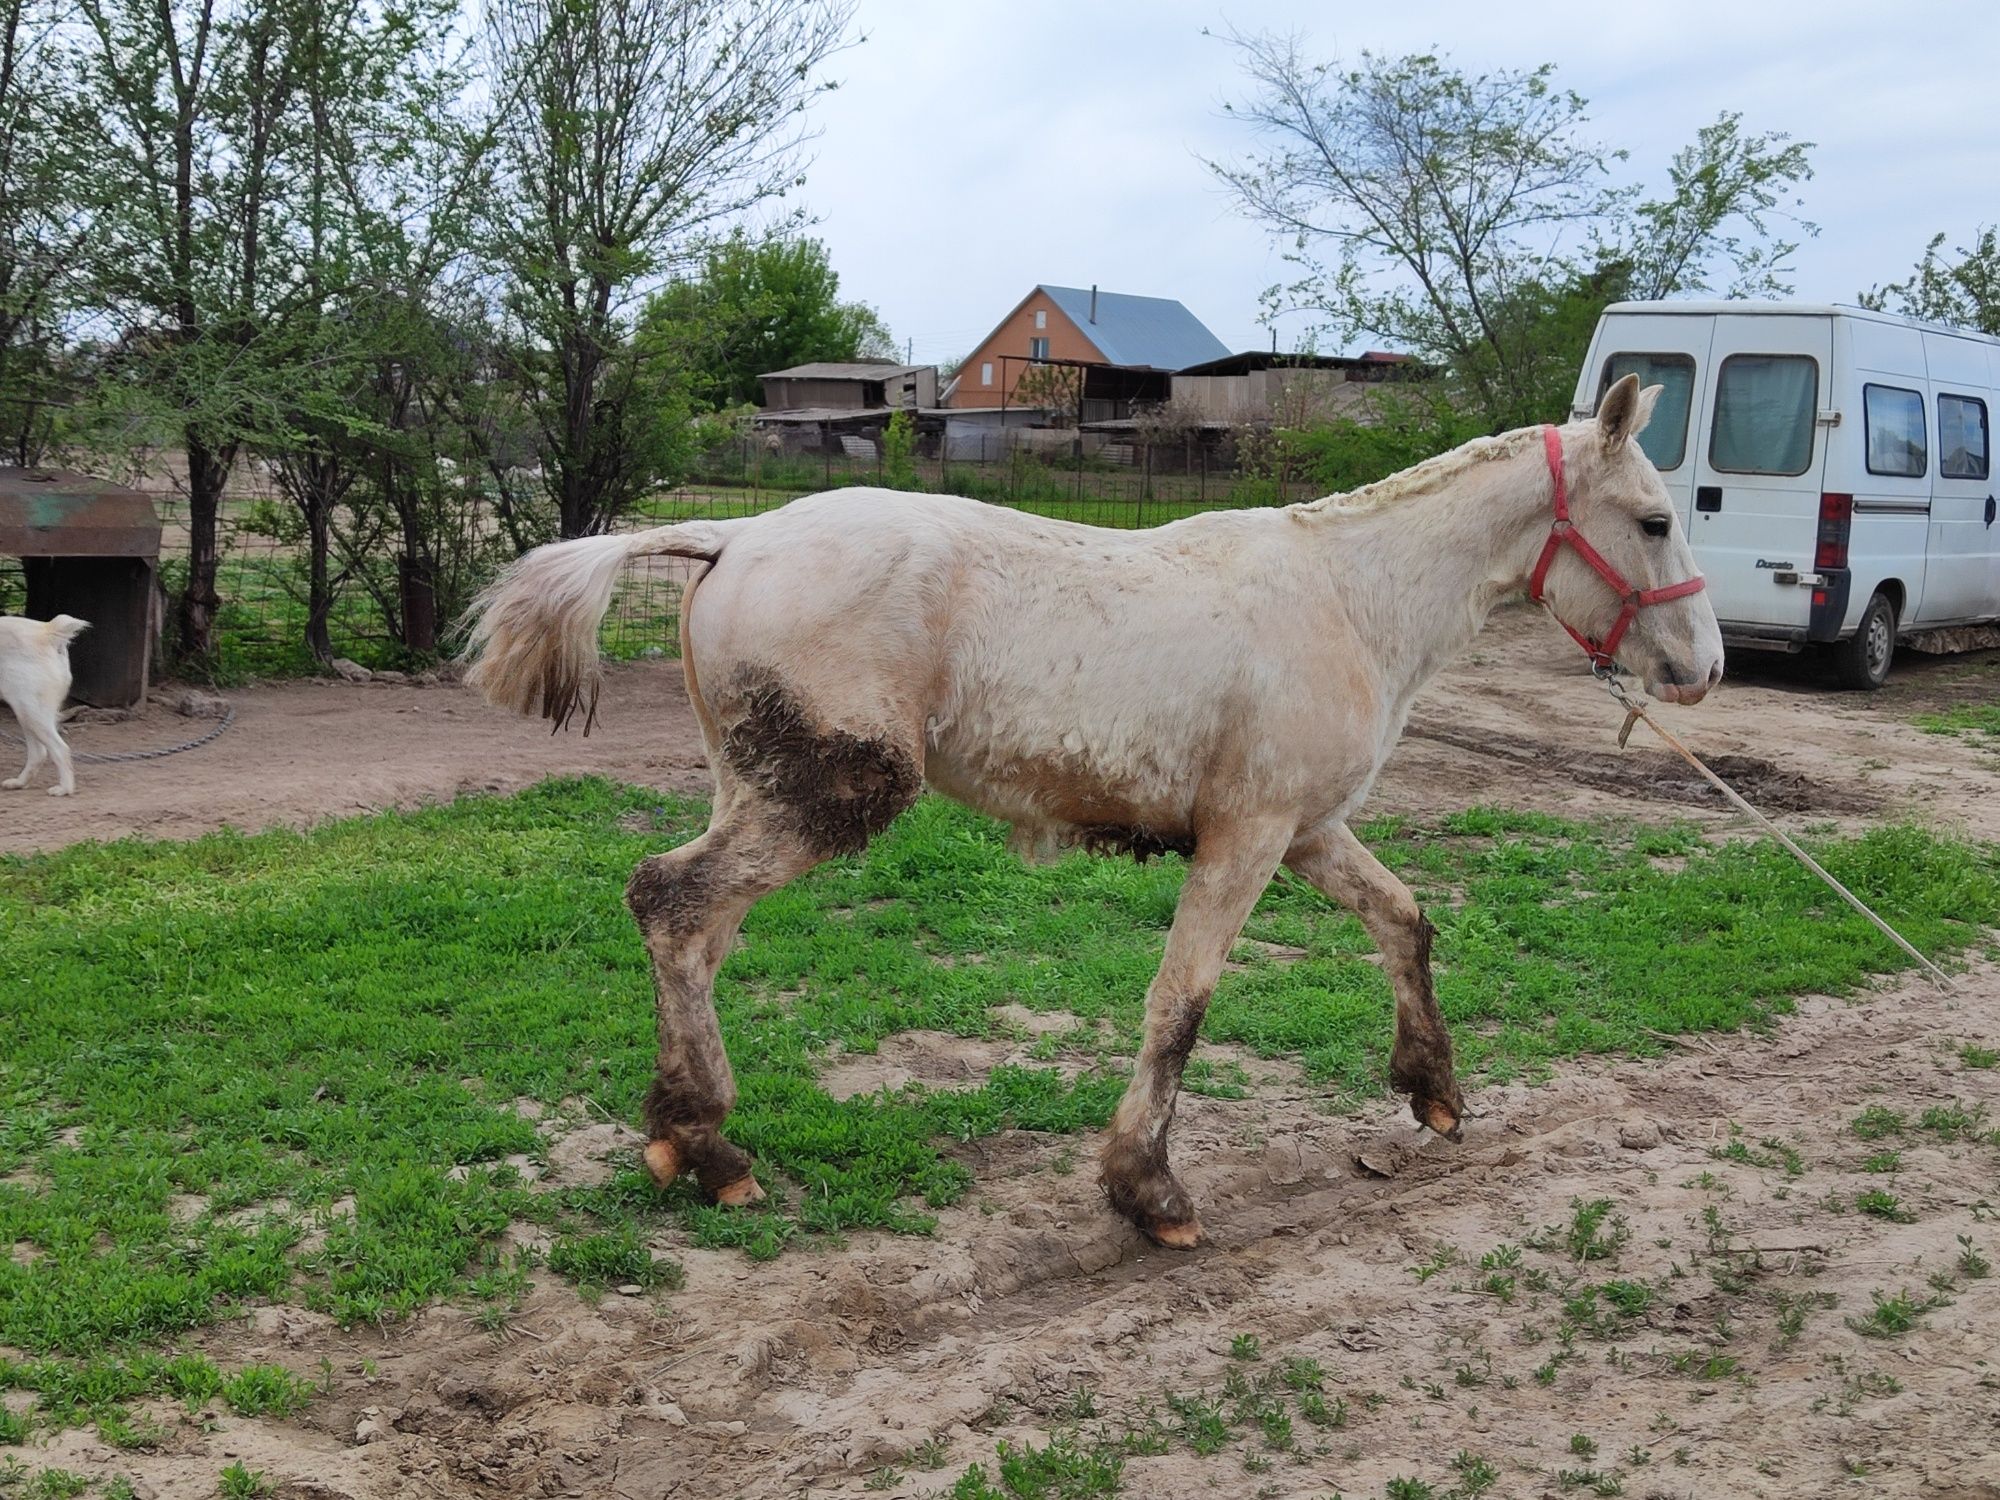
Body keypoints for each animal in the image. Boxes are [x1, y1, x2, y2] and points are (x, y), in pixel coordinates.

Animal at [0, 612, 89, 800]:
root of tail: (48, 631)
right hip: (27, 714)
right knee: (39, 753)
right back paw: (19, 783)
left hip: (30, 713)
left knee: (60, 750)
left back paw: (64, 789)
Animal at [464, 376, 1720, 1248]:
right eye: (1654, 520)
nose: (1703, 670)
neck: (1347, 598)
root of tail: (730, 536)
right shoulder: (1247, 838)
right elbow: (1182, 1005)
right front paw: (1147, 1193)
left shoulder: (1308, 831)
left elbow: (1404, 922)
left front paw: (1434, 1093)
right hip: (832, 798)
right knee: (671, 902)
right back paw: (706, 1147)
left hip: (756, 790)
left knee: (697, 930)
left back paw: (684, 1131)